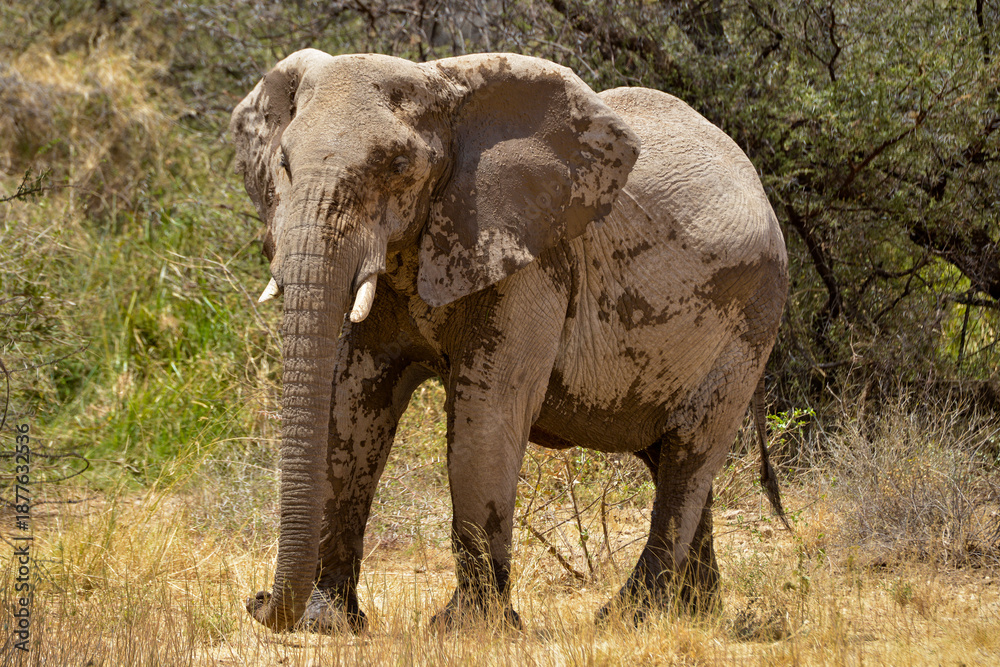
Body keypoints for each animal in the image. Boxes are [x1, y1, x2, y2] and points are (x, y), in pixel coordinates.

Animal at [229, 48, 788, 633]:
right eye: (284, 164)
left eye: (399, 166)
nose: (256, 602)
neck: (447, 90)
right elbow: (353, 402)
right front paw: (327, 621)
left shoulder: (532, 258)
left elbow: (487, 411)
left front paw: (467, 628)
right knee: (668, 458)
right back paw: (695, 615)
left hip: (750, 320)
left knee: (688, 458)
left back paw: (629, 616)